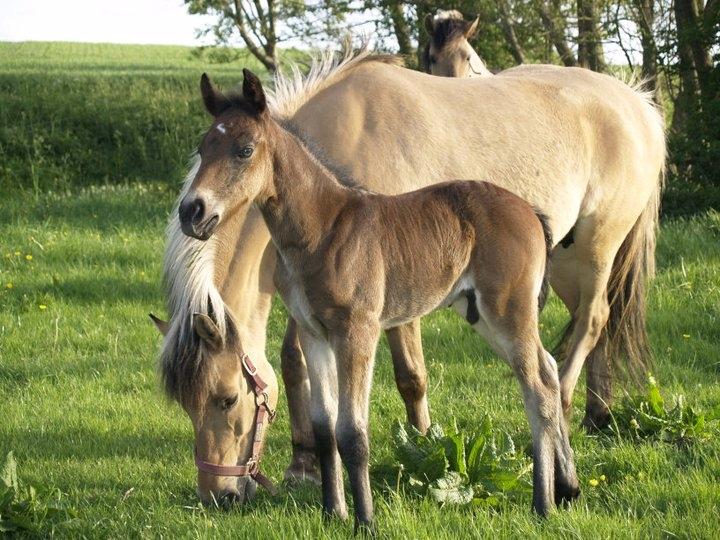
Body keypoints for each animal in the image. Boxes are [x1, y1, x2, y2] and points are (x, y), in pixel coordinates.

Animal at [156, 47, 664, 506]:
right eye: (202, 148)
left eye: (226, 398)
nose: (217, 494)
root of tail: (639, 102)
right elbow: (294, 363)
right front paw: (304, 464)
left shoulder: (391, 301)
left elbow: (410, 377)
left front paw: (421, 447)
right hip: (557, 267)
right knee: (577, 338)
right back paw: (594, 421)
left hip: (594, 251)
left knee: (590, 325)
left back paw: (573, 422)